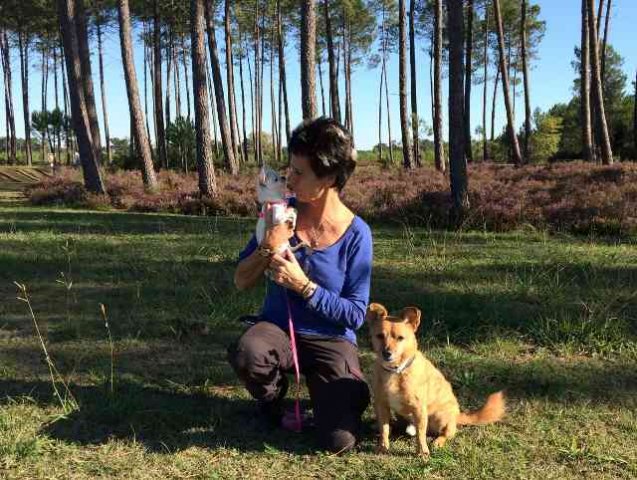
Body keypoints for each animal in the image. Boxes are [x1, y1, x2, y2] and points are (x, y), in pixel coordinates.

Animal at [366, 304, 504, 458]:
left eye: (400, 338)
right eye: (380, 336)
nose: (387, 353)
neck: (396, 371)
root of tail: (457, 415)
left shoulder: (419, 409)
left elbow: (420, 435)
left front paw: (422, 452)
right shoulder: (382, 405)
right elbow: (384, 429)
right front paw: (382, 447)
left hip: (439, 417)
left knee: (447, 433)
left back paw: (438, 441)